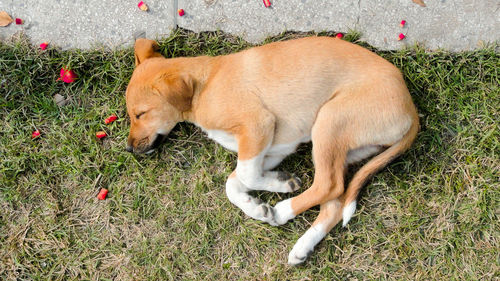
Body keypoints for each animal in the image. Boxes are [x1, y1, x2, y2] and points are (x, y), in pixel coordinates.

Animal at [125, 37, 418, 264]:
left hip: (329, 120)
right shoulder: (274, 147)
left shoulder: (258, 125)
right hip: (341, 147)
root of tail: (412, 110)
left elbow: (245, 175)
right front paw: (258, 204)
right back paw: (302, 247)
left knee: (329, 184)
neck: (205, 83)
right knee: (335, 201)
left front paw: (280, 189)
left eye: (140, 114)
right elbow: (234, 182)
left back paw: (284, 210)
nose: (128, 149)